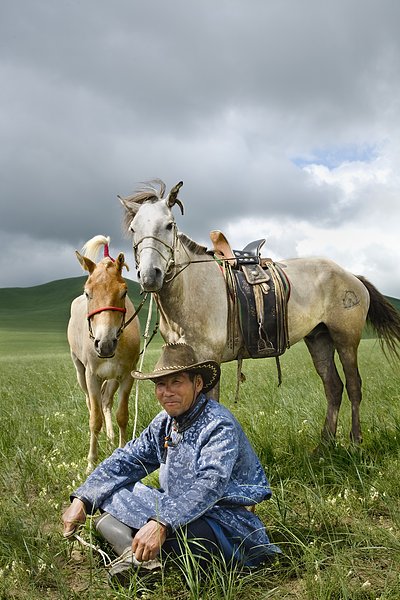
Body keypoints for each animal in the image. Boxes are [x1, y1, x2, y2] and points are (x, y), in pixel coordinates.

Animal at [69, 237, 142, 472]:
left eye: (124, 292)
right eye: (87, 293)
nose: (105, 344)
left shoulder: (127, 375)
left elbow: (122, 415)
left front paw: (121, 449)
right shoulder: (92, 376)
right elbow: (94, 420)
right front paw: (91, 462)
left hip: (112, 378)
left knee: (106, 401)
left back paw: (109, 437)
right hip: (80, 372)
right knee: (92, 404)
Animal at [118, 179, 400, 446]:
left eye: (169, 225)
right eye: (133, 230)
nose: (150, 275)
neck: (191, 289)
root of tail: (351, 275)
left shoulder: (209, 359)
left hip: (346, 338)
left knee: (353, 386)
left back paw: (355, 441)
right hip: (319, 338)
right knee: (333, 386)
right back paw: (324, 446)